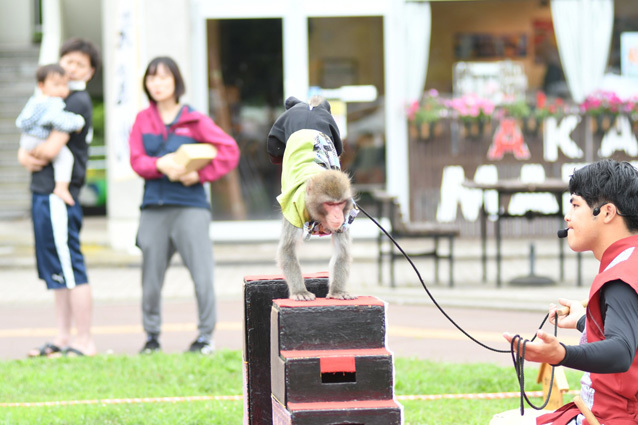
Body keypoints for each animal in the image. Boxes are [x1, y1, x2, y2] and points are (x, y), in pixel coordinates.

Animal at [268, 96, 360, 302]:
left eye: (339, 204)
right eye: (330, 204)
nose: (337, 216)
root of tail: (310, 108)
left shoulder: (347, 217)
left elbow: (342, 252)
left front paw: (338, 291)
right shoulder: (293, 212)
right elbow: (288, 250)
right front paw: (300, 291)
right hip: (277, 135)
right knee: (276, 151)